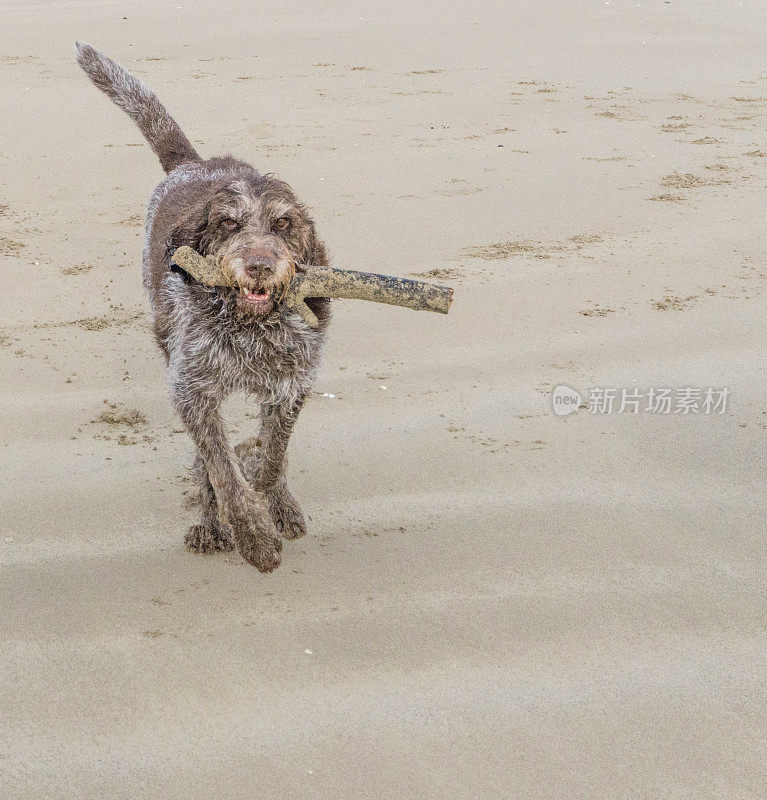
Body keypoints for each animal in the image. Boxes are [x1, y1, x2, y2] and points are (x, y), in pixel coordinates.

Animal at [78, 43, 330, 572]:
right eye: (228, 224)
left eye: (282, 224)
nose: (259, 265)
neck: (249, 328)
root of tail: (193, 164)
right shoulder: (193, 389)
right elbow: (220, 467)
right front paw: (252, 534)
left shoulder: (292, 383)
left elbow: (272, 455)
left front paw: (268, 488)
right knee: (204, 461)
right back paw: (211, 521)